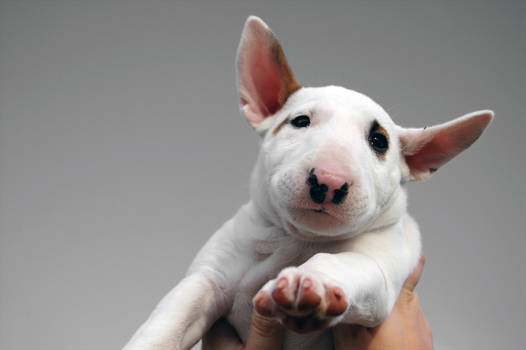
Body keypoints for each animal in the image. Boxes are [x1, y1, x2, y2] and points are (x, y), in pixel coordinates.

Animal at [125, 15, 496, 350]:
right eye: (300, 121)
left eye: (379, 141)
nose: (329, 182)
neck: (298, 239)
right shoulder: (207, 279)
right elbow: (169, 320)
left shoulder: (383, 268)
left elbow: (347, 263)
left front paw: (311, 283)